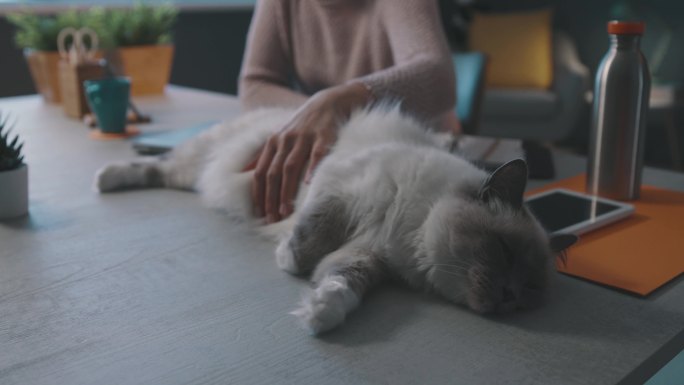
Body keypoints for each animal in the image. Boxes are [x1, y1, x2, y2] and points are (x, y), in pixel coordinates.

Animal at [95, 104, 576, 332]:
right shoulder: (341, 190)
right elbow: (310, 239)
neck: (409, 239)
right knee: (154, 166)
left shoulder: (367, 256)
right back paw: (104, 178)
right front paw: (288, 260)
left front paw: (319, 316)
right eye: (503, 251)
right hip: (200, 164)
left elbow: (340, 283)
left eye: (531, 290)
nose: (510, 297)